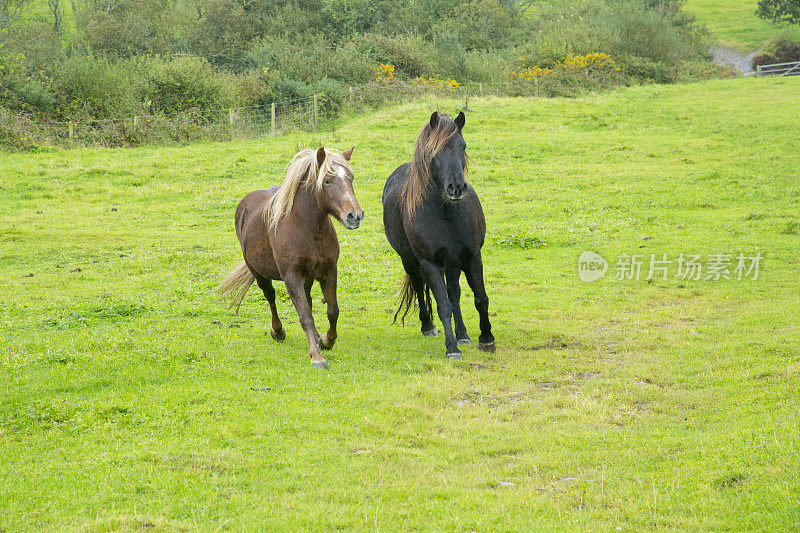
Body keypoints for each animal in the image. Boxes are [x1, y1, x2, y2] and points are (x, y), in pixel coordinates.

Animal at [217, 148, 364, 368]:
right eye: (327, 181)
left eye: (350, 178)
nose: (355, 215)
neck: (309, 228)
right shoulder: (292, 277)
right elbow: (305, 316)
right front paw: (317, 357)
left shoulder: (329, 272)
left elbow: (332, 311)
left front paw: (326, 341)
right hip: (259, 274)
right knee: (270, 298)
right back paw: (278, 331)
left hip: (308, 278)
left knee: (308, 302)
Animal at [382, 112, 494, 362]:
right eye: (435, 150)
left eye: (463, 146)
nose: (457, 187)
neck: (446, 213)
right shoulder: (430, 264)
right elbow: (443, 306)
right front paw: (451, 348)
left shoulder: (473, 257)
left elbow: (480, 298)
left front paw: (486, 338)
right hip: (411, 262)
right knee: (420, 288)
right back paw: (428, 326)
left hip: (453, 263)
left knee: (455, 294)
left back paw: (463, 334)